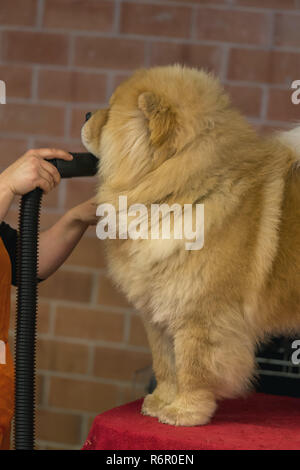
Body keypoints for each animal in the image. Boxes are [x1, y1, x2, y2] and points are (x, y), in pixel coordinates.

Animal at [81, 65, 300, 426]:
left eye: (110, 111)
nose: (86, 113)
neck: (181, 193)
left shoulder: (201, 314)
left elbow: (194, 368)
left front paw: (184, 413)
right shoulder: (161, 310)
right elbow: (167, 364)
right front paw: (159, 403)